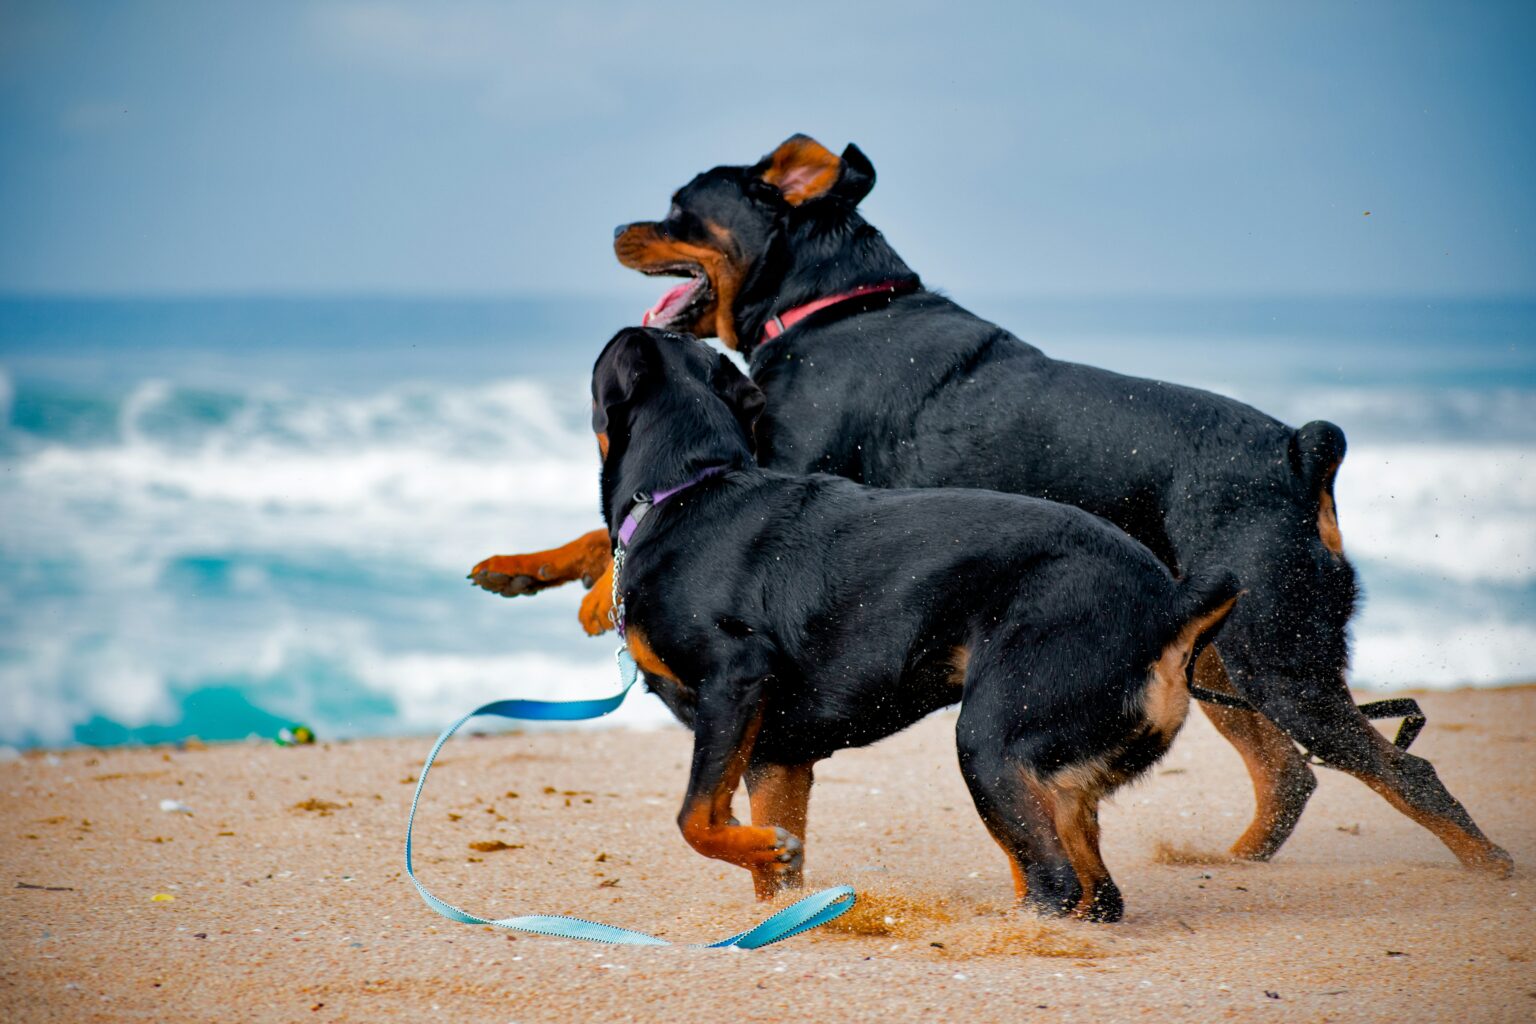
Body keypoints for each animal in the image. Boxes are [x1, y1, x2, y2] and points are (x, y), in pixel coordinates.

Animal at [592, 328, 1241, 921]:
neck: (684, 490)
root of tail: (1169, 604)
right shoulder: (775, 755)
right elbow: (772, 875)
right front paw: (777, 885)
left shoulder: (736, 678)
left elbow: (694, 818)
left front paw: (766, 852)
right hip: (1055, 775)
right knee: (1096, 894)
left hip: (992, 740)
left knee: (1054, 883)